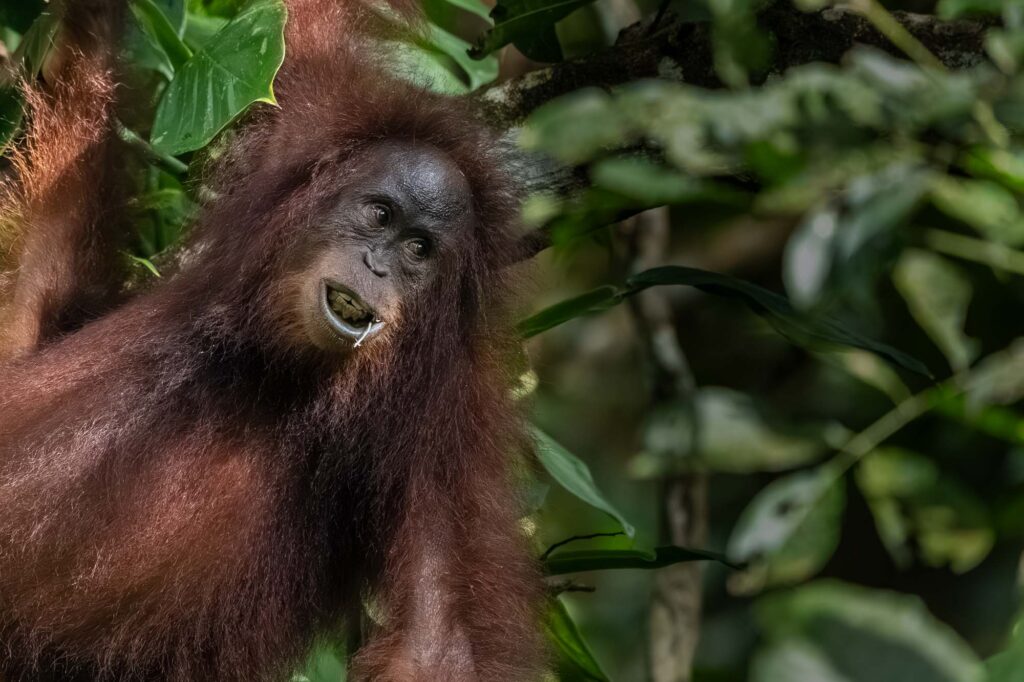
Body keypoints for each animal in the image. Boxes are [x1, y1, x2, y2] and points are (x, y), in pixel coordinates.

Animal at [0, 0, 545, 680]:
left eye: (420, 249)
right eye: (381, 215)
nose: (380, 267)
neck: (280, 364)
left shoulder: (445, 427)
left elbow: (438, 639)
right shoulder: (304, 133)